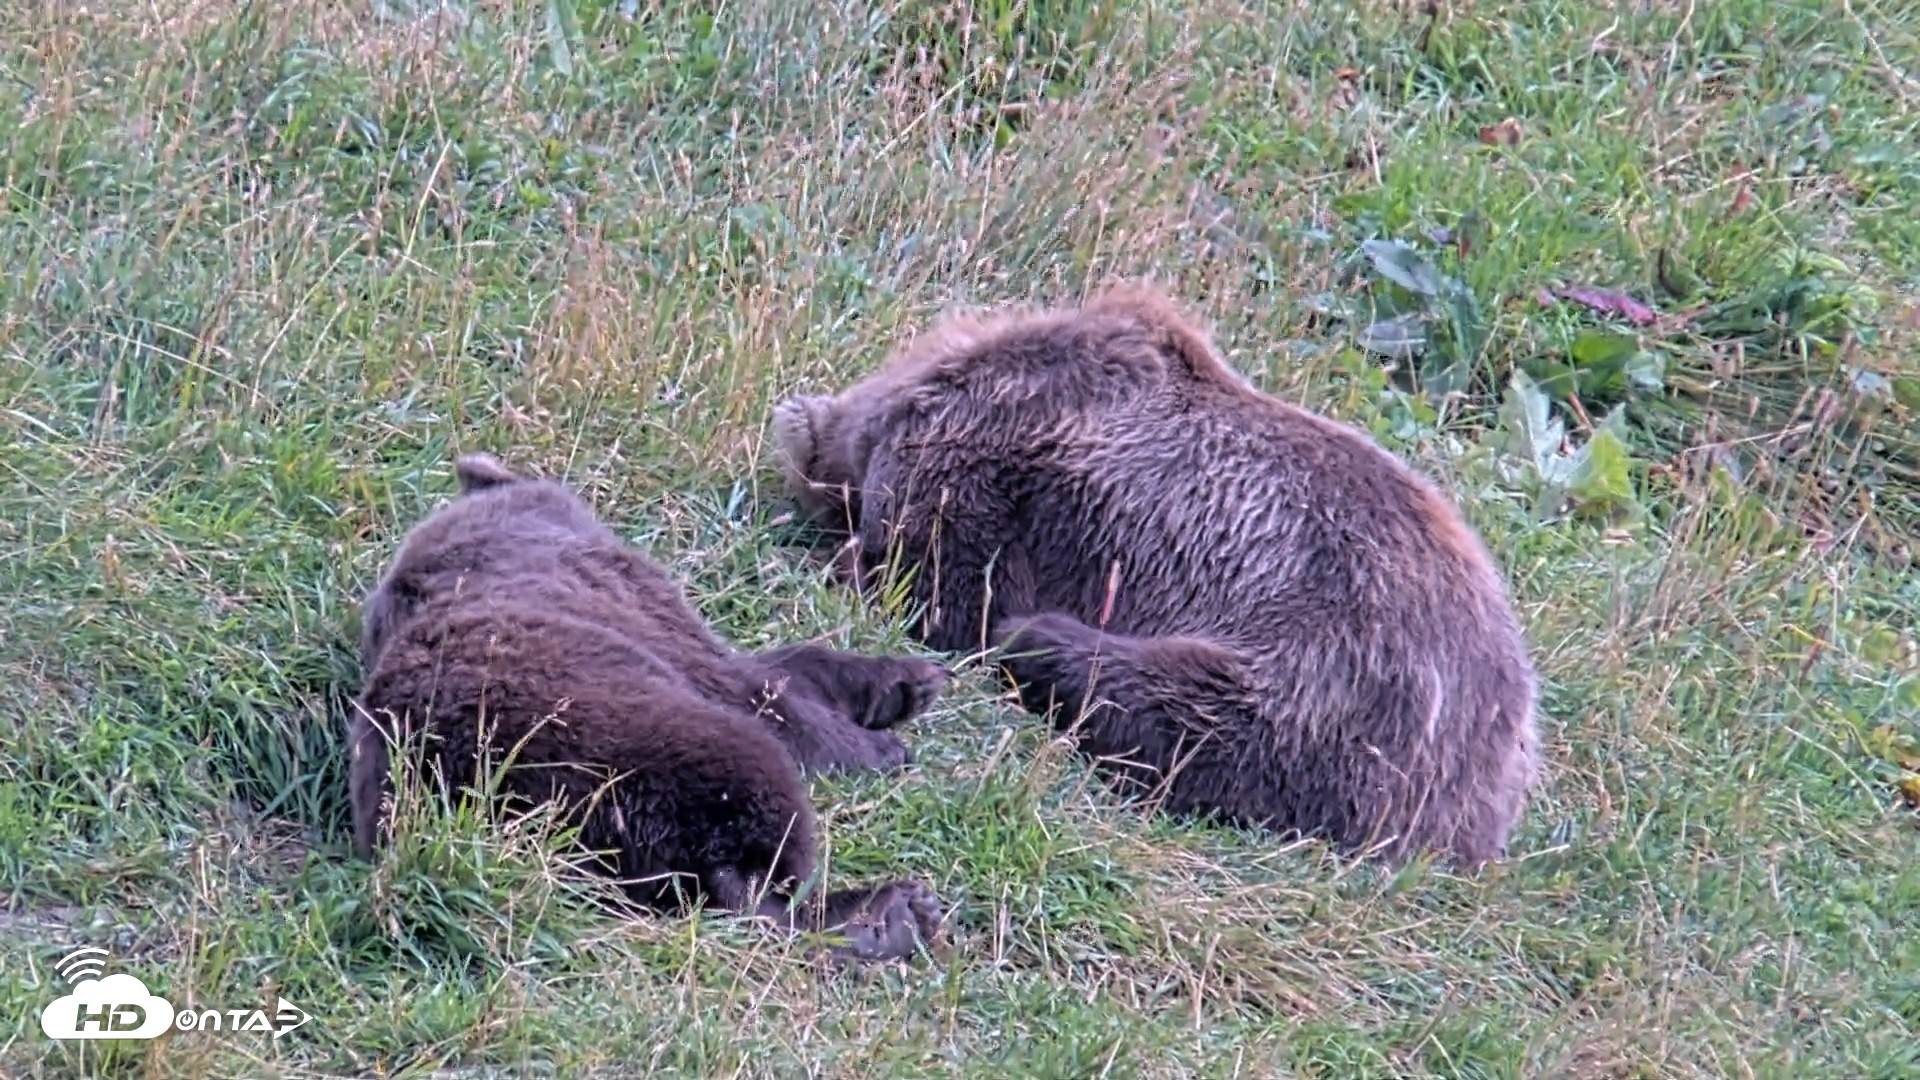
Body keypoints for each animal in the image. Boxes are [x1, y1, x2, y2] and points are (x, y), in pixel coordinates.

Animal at [349, 452, 950, 962]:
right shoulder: (632, 607)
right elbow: (758, 690)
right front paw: (885, 739)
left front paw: (911, 683)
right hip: (627, 748)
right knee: (764, 846)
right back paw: (893, 913)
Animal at [768, 284, 1541, 869]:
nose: (802, 433)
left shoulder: (986, 467)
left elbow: (945, 587)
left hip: (1328, 680)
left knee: (1177, 704)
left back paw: (1044, 643)